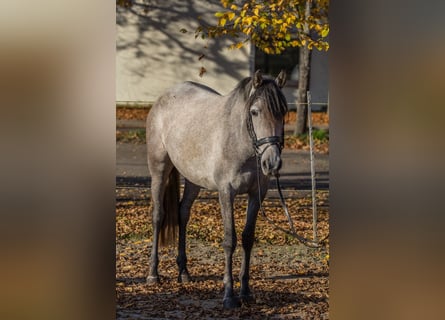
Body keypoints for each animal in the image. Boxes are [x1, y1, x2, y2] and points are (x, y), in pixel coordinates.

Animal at [144, 69, 286, 308]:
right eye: (255, 112)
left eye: (284, 111)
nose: (272, 163)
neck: (239, 140)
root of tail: (165, 96)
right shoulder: (226, 192)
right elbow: (230, 241)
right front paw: (229, 294)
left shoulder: (257, 195)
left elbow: (247, 239)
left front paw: (246, 291)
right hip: (159, 168)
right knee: (158, 216)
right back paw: (153, 274)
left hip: (193, 178)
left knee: (183, 213)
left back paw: (183, 272)